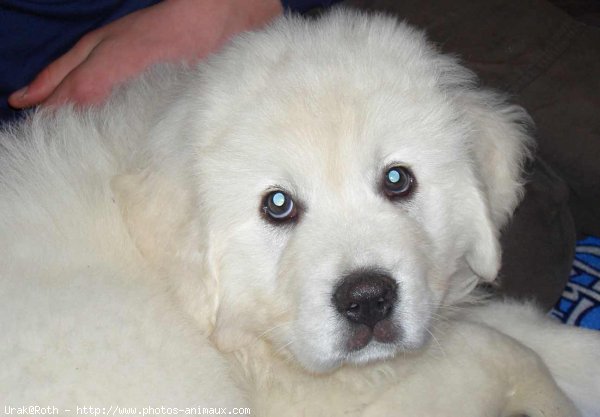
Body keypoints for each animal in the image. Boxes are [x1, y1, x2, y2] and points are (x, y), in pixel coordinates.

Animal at [1, 8, 600, 416]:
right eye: (278, 205)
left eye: (397, 179)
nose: (368, 300)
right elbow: (501, 349)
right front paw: (548, 400)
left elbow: (523, 332)